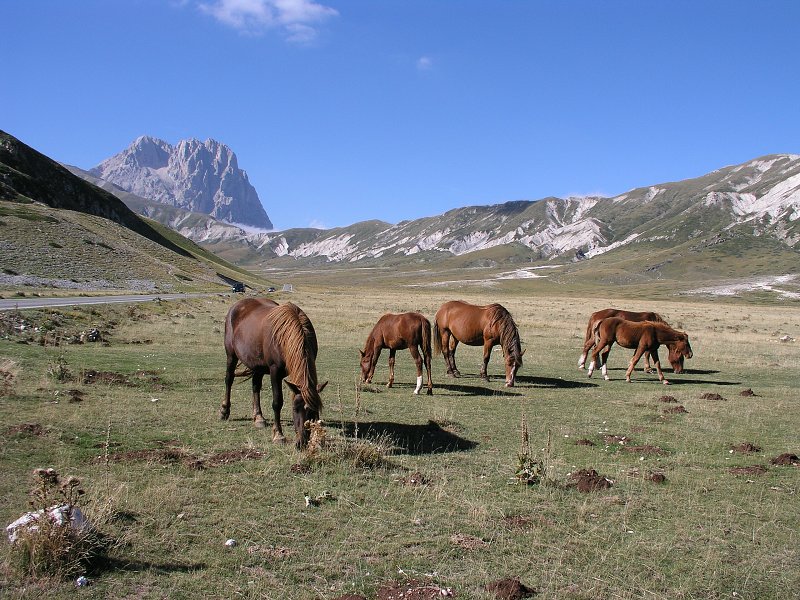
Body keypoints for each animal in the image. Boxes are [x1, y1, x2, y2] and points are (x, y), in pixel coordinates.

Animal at [220, 298, 326, 448]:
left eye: (313, 411)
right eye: (295, 409)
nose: (302, 442)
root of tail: (238, 305)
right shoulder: (275, 371)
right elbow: (277, 402)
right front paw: (278, 435)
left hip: (257, 364)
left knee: (255, 386)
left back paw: (258, 418)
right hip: (231, 355)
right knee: (229, 379)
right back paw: (224, 411)